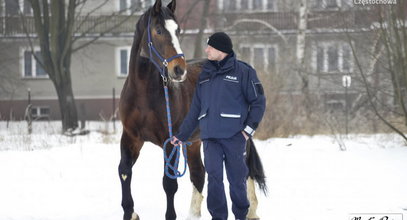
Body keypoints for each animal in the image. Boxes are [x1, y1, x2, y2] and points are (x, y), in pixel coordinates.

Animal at [118, 0, 268, 220]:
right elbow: (124, 171)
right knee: (199, 173)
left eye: (178, 30)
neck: (143, 94)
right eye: (158, 30)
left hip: (239, 139)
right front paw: (130, 212)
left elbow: (169, 183)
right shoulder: (131, 137)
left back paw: (251, 211)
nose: (179, 69)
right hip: (194, 142)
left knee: (245, 170)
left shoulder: (170, 142)